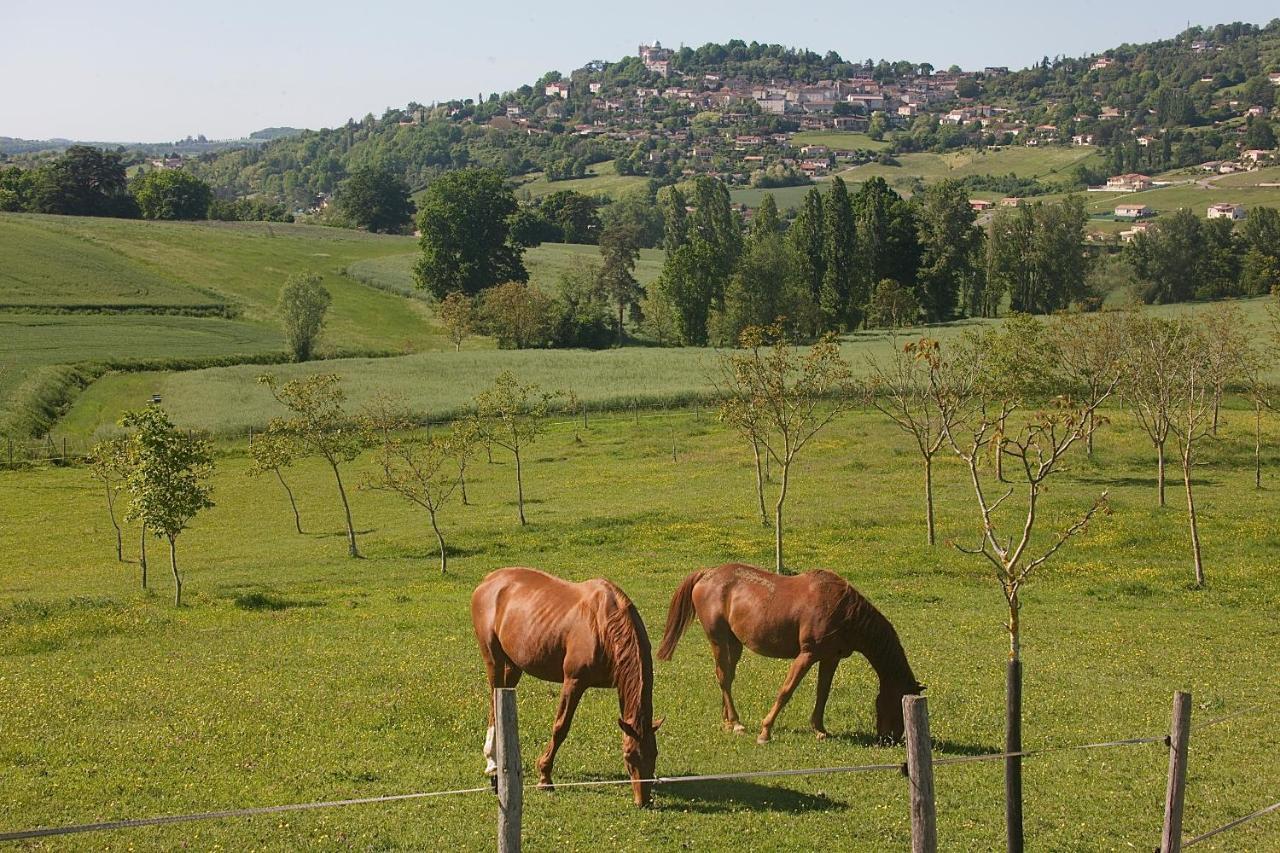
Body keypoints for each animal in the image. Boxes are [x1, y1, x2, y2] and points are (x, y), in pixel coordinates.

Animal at [476, 563, 665, 804]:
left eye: (654, 754)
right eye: (629, 755)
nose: (643, 801)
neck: (602, 625)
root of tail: (489, 579)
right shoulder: (574, 682)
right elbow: (561, 727)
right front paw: (544, 776)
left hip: (513, 666)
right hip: (494, 660)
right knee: (493, 702)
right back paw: (492, 763)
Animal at [660, 560, 921, 742]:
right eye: (898, 701)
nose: (891, 738)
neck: (843, 611)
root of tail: (707, 574)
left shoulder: (830, 658)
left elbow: (822, 693)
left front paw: (820, 730)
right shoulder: (806, 655)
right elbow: (786, 691)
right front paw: (765, 732)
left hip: (734, 644)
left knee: (727, 678)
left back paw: (728, 722)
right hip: (718, 639)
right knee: (723, 678)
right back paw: (736, 723)